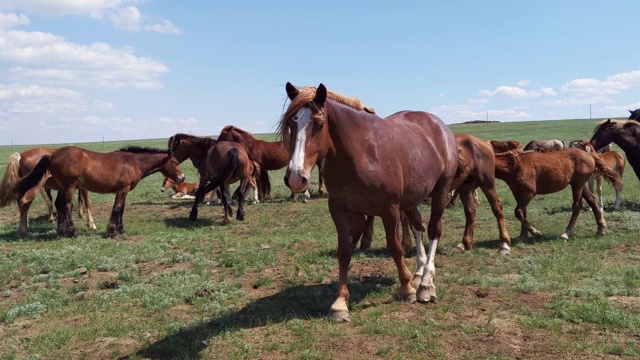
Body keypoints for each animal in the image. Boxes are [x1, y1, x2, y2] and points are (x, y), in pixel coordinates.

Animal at [15, 145, 185, 238]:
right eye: (175, 162)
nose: (182, 178)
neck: (133, 163)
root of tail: (53, 155)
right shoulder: (122, 190)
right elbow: (117, 209)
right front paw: (113, 232)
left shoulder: (124, 191)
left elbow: (121, 209)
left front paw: (122, 230)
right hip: (69, 187)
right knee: (66, 206)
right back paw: (73, 232)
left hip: (63, 187)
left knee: (59, 204)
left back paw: (63, 231)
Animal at [280, 83, 460, 322]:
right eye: (292, 123)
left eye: (320, 124)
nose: (295, 177)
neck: (362, 154)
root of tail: (439, 125)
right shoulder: (339, 209)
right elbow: (344, 251)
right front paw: (340, 303)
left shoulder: (389, 209)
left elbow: (395, 247)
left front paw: (407, 289)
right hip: (412, 198)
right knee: (418, 227)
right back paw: (420, 271)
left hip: (440, 192)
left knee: (433, 231)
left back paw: (426, 284)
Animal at [492, 146, 624, 242]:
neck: (515, 165)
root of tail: (589, 155)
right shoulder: (517, 193)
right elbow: (523, 213)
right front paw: (523, 235)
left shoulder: (529, 193)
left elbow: (518, 212)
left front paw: (535, 232)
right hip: (580, 185)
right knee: (592, 201)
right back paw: (600, 228)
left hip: (578, 186)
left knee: (577, 206)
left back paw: (566, 233)